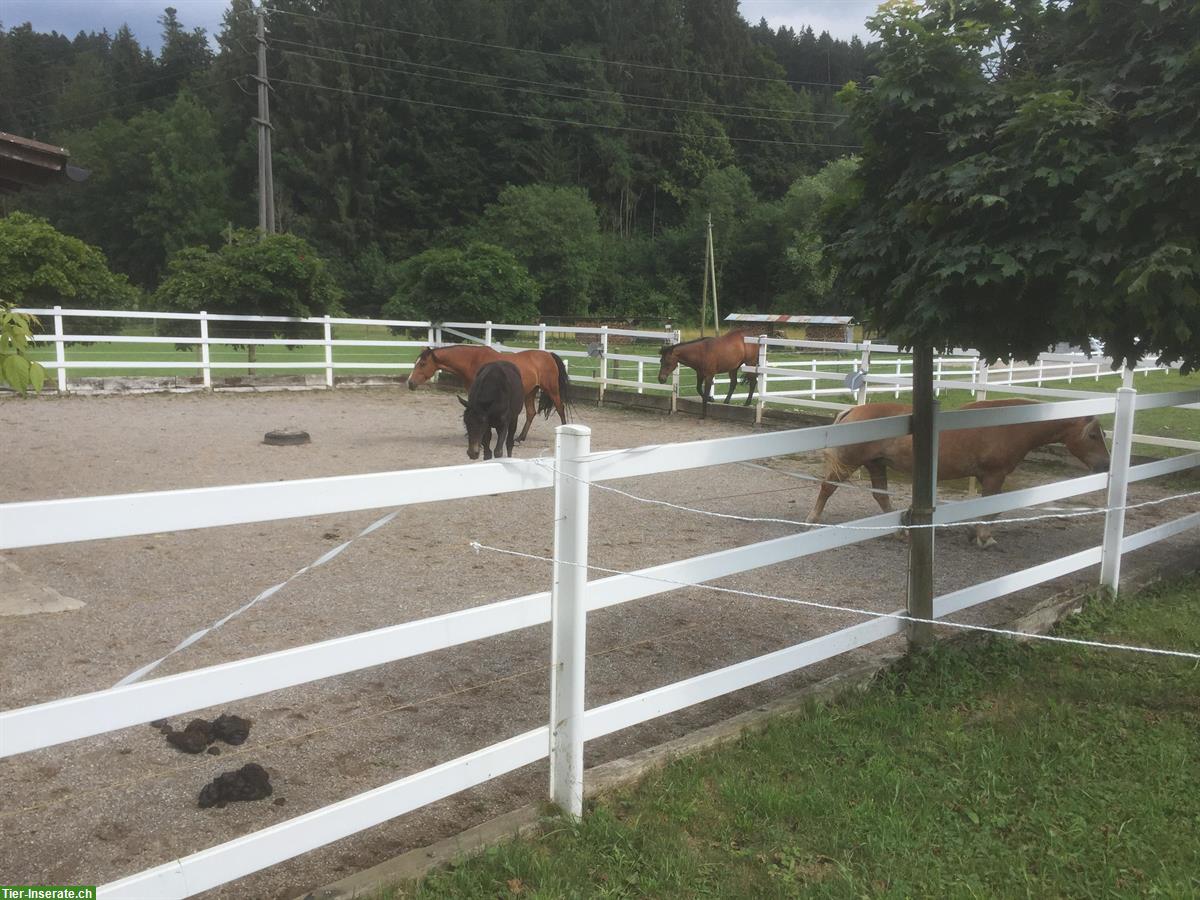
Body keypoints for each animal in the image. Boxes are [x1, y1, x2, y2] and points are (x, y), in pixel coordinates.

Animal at [408, 345, 571, 441]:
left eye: (422, 363)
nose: (410, 382)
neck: (472, 361)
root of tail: (548, 355)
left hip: (551, 389)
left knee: (560, 408)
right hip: (530, 392)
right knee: (531, 413)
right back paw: (520, 437)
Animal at [806, 398, 1111, 548]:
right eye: (1093, 435)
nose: (1106, 465)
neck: (1010, 423)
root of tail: (853, 411)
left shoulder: (986, 477)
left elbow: (989, 510)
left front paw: (974, 533)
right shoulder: (994, 475)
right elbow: (991, 510)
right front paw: (985, 539)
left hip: (875, 464)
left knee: (881, 497)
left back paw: (900, 533)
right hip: (850, 463)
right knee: (827, 488)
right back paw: (812, 520)